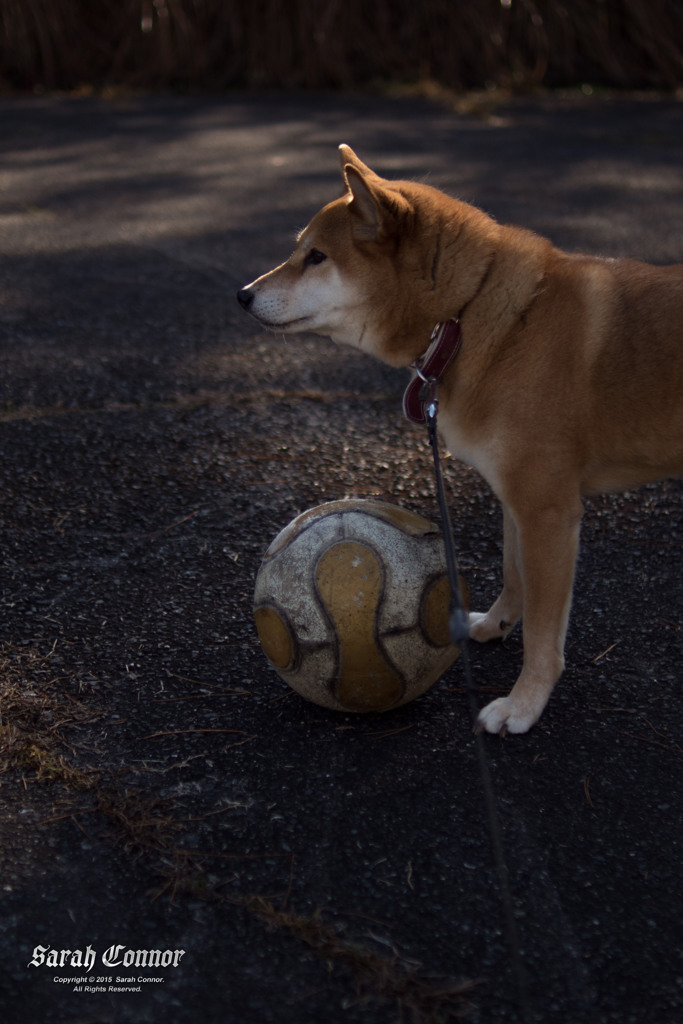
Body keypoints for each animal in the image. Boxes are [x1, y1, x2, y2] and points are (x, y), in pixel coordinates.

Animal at [237, 146, 679, 737]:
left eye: (316, 257)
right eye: (300, 252)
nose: (242, 296)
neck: (471, 314)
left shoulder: (548, 511)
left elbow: (543, 632)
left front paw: (523, 704)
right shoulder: (517, 500)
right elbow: (514, 576)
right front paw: (494, 625)